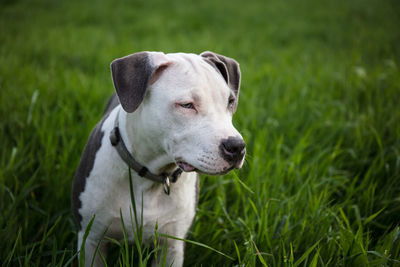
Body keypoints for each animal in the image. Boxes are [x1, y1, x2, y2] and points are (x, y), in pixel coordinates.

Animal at [72, 51, 247, 266]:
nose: (237, 146)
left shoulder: (171, 246)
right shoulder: (91, 238)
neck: (149, 176)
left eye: (230, 102)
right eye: (186, 105)